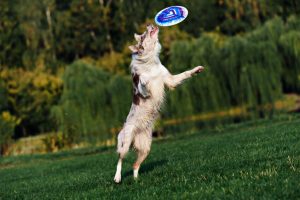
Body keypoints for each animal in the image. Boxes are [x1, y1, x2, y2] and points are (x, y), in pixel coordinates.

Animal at [113, 23, 205, 183]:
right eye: (144, 34)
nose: (149, 24)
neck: (149, 61)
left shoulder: (170, 80)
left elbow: (184, 74)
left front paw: (196, 70)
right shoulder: (143, 91)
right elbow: (143, 84)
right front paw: (144, 79)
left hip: (146, 148)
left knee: (135, 164)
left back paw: (136, 180)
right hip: (125, 142)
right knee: (120, 159)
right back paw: (117, 177)